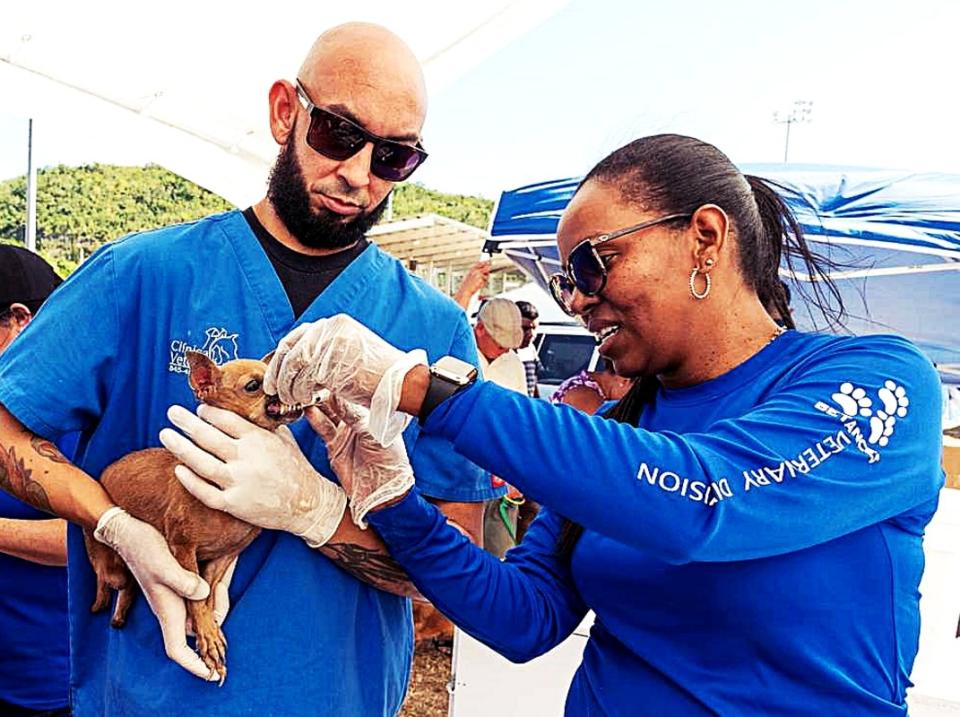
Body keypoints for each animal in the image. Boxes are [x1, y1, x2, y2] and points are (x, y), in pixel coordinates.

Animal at [83, 352, 300, 684]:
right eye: (253, 385)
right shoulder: (183, 549)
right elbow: (196, 594)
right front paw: (207, 636)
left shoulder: (222, 558)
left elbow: (208, 594)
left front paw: (207, 629)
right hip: (108, 563)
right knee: (111, 581)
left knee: (132, 584)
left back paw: (119, 617)